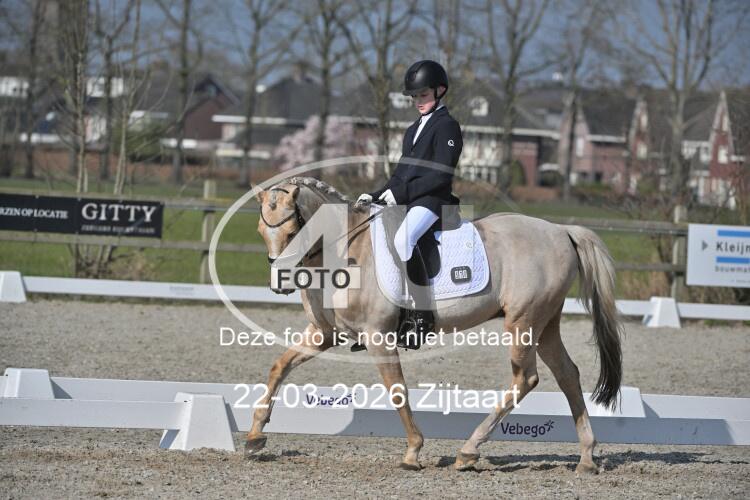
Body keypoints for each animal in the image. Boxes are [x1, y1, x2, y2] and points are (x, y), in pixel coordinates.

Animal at [245, 176, 623, 474]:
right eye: (262, 230)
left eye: (293, 231)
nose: (280, 283)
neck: (344, 252)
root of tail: (561, 230)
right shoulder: (325, 334)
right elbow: (279, 367)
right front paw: (255, 437)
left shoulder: (378, 337)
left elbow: (397, 390)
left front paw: (413, 452)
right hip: (545, 325)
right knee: (567, 375)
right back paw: (586, 458)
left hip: (523, 321)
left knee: (526, 378)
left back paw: (468, 451)